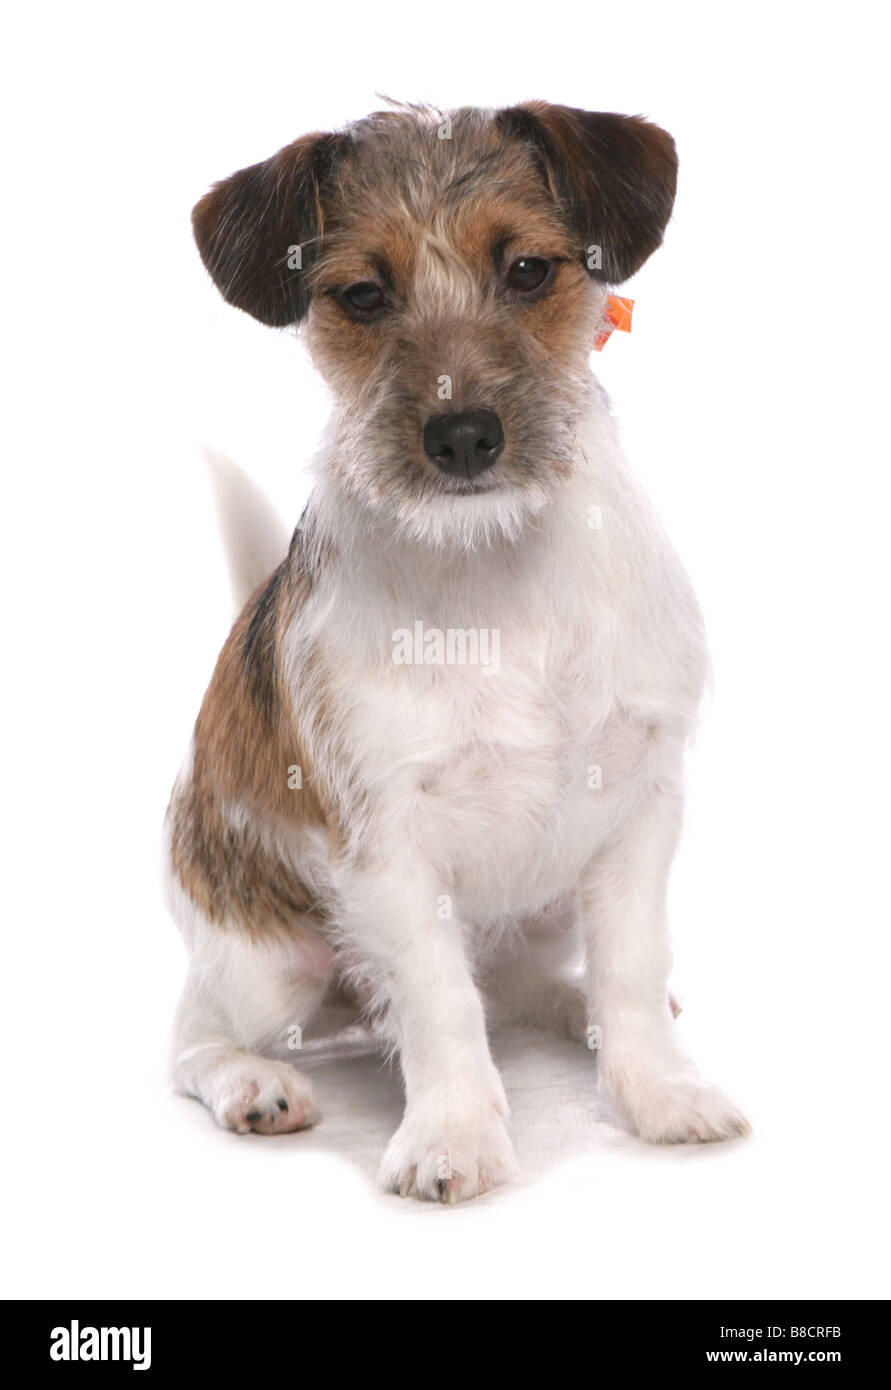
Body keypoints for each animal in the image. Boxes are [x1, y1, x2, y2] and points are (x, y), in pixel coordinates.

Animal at [163, 102, 745, 1200]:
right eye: (362, 294)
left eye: (526, 270)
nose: (464, 434)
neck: (498, 569)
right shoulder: (389, 845)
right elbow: (438, 1002)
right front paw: (453, 1138)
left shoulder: (639, 804)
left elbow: (632, 968)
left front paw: (658, 1093)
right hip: (270, 965)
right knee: (192, 1040)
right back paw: (254, 1085)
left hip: (550, 910)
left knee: (534, 984)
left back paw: (580, 1013)